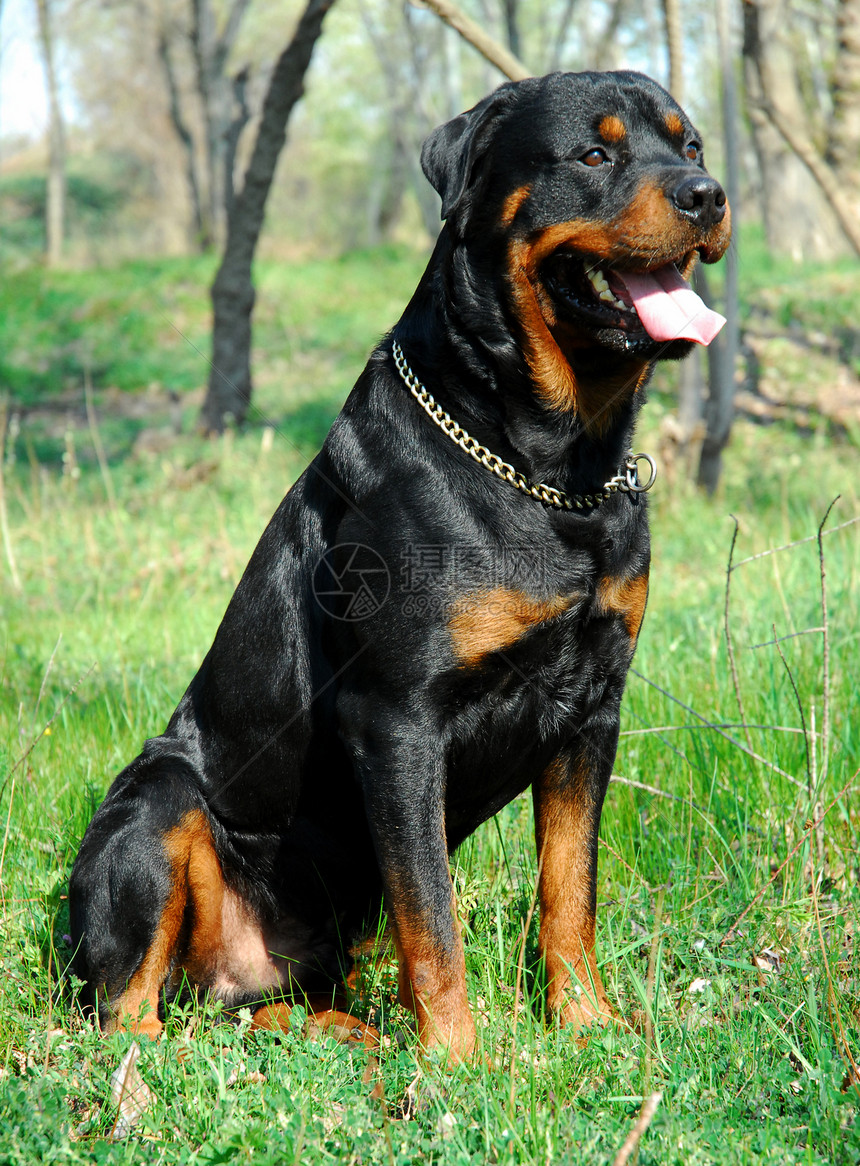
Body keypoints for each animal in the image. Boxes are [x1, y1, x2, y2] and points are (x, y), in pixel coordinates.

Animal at [67, 70, 727, 1058]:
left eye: (689, 147)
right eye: (593, 154)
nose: (708, 195)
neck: (549, 465)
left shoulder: (592, 712)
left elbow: (569, 889)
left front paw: (586, 1023)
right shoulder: (398, 719)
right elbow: (433, 918)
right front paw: (459, 1059)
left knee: (262, 1009)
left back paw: (343, 1035)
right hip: (156, 802)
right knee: (129, 1015)